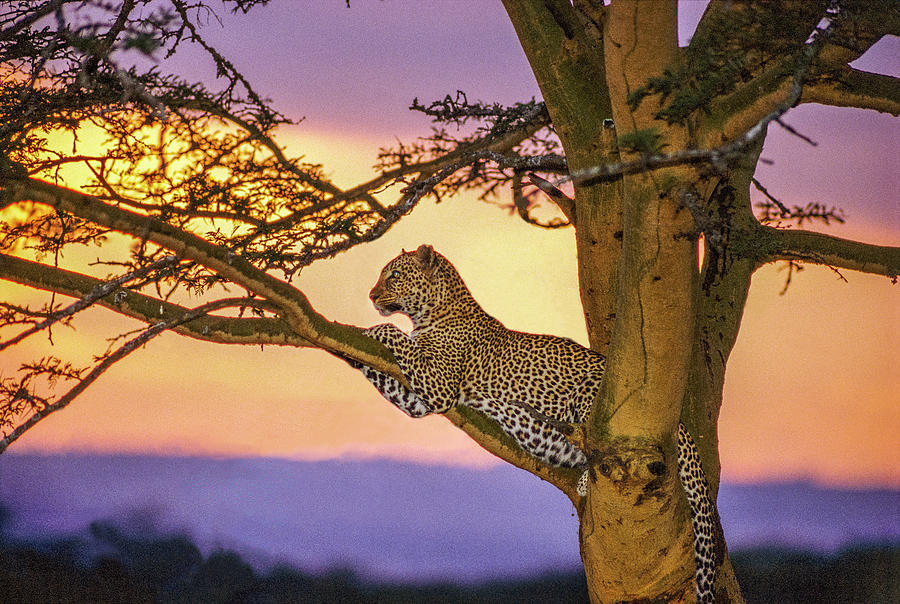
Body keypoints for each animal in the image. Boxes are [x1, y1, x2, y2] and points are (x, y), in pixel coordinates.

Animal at [348, 244, 720, 600]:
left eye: (395, 275)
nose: (371, 295)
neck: (430, 312)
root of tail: (681, 426)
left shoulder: (440, 385)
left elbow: (397, 337)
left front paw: (372, 329)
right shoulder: (418, 400)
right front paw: (352, 348)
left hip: (596, 392)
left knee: (597, 443)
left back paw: (584, 476)